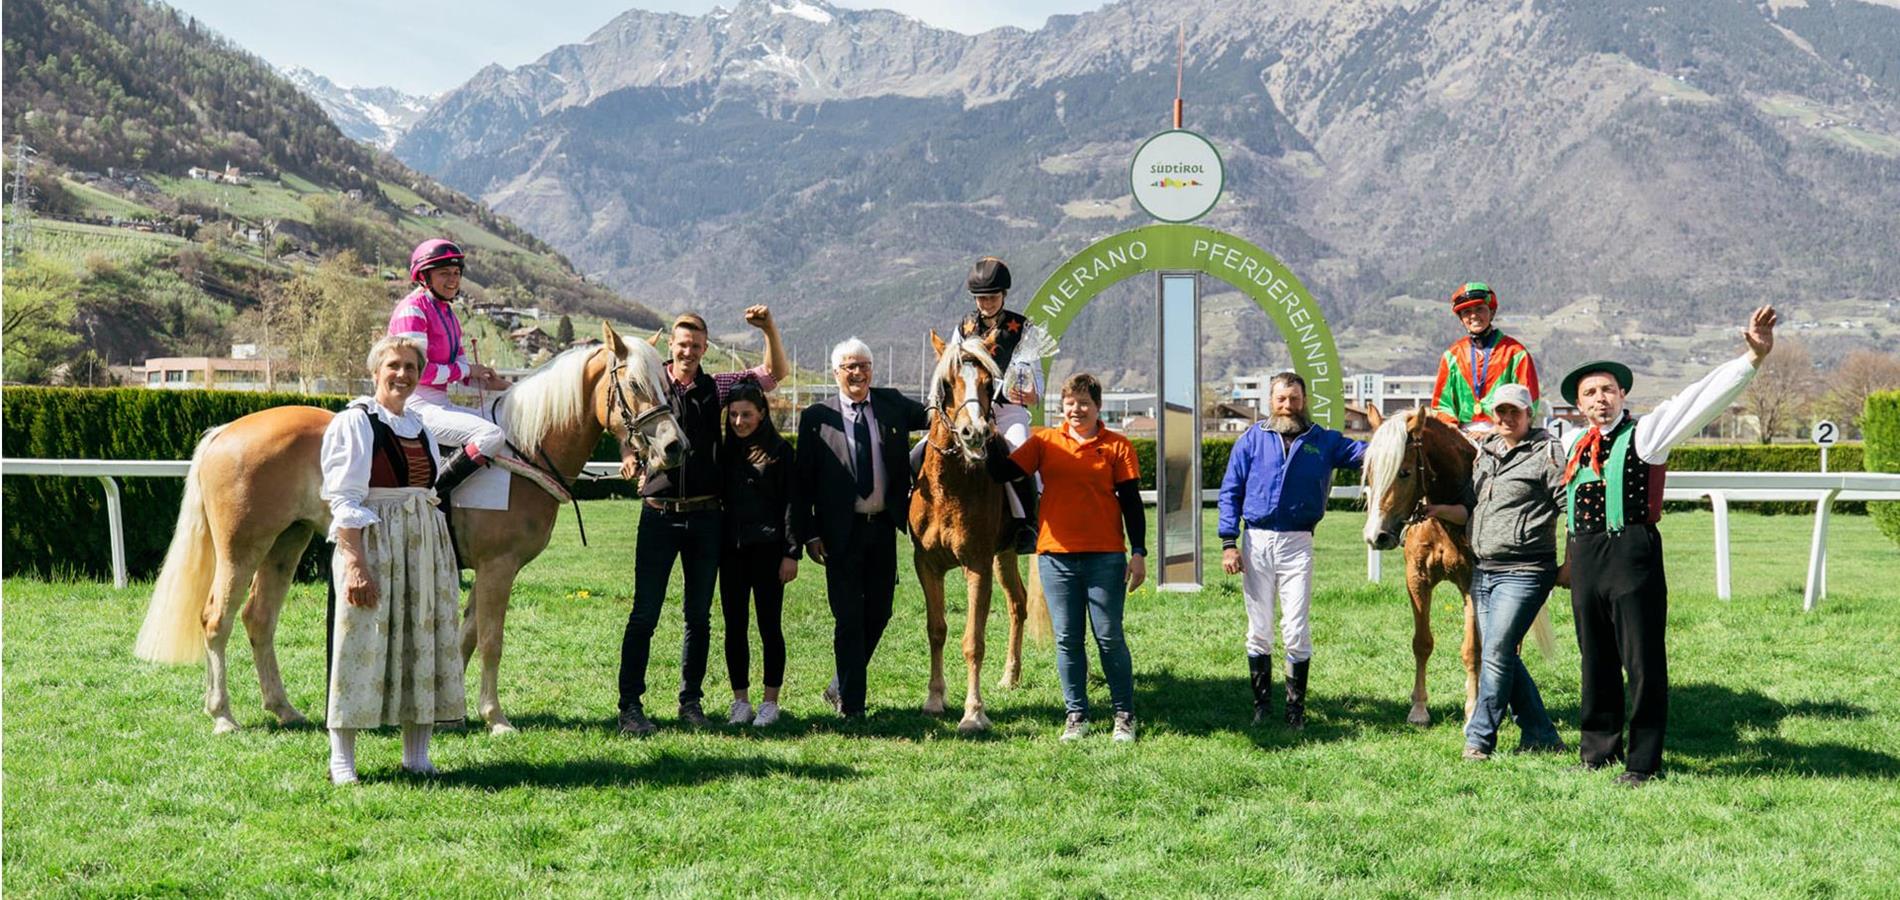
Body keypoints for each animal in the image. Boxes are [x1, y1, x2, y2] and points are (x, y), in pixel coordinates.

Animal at [133, 322, 684, 732]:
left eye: (668, 386)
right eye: (635, 385)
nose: (675, 447)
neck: (526, 446)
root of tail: (226, 429)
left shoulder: (483, 571)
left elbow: (464, 636)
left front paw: (447, 711)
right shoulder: (498, 567)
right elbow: (490, 639)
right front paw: (495, 717)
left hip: (286, 543)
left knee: (258, 618)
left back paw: (283, 709)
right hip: (242, 547)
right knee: (216, 619)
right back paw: (223, 715)